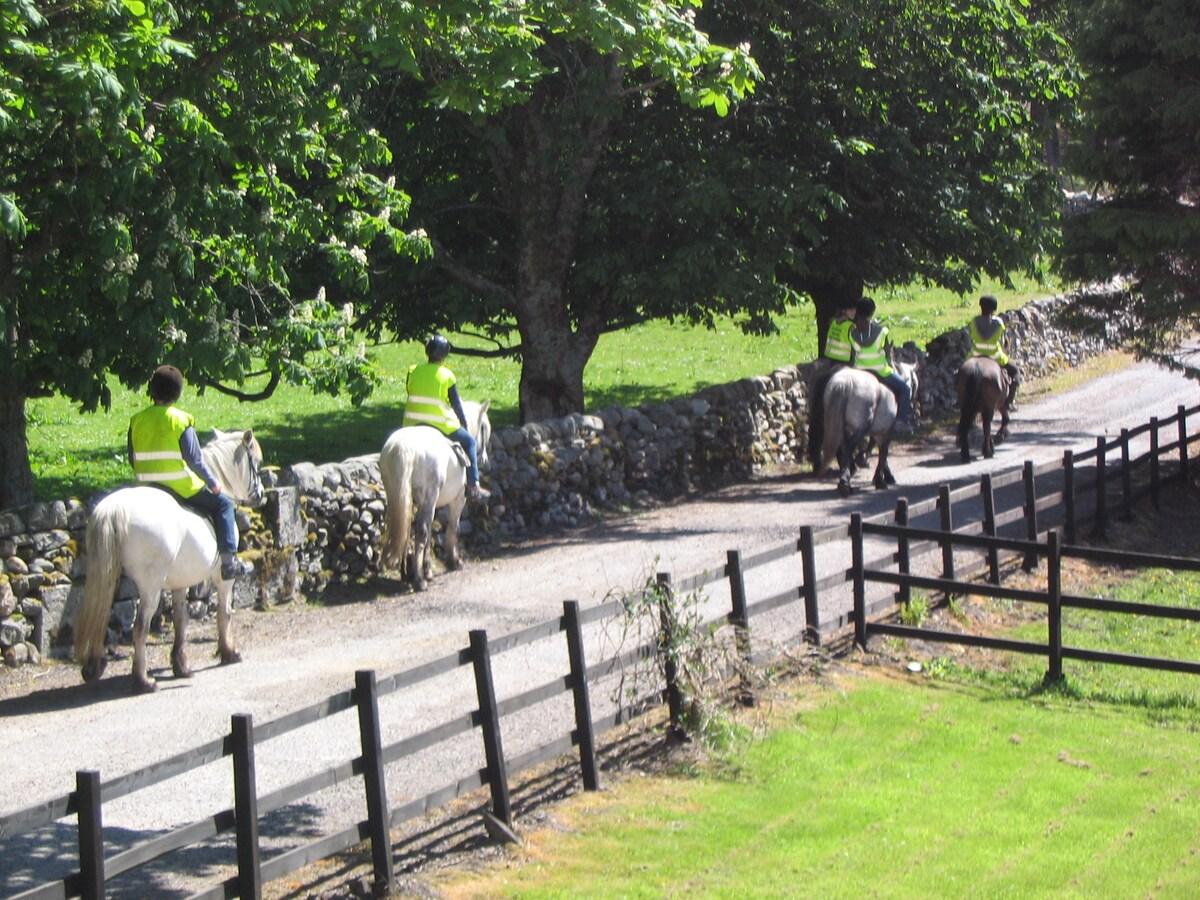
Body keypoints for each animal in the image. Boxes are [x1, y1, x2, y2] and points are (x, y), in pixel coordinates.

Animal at [74, 429, 265, 696]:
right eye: (256, 462)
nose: (261, 495)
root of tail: (114, 508)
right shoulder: (222, 578)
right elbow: (224, 612)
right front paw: (229, 652)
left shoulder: (179, 583)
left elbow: (180, 619)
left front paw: (180, 665)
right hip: (150, 586)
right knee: (140, 628)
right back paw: (143, 680)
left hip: (105, 576)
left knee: (99, 617)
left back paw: (94, 666)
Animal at [386, 400, 494, 592]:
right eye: (484, 427)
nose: (485, 460)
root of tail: (402, 448)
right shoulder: (458, 499)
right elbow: (452, 528)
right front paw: (454, 561)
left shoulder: (428, 503)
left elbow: (430, 533)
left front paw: (428, 569)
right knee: (420, 531)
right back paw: (418, 580)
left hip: (399, 498)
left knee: (405, 528)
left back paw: (407, 574)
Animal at [816, 362, 916, 501]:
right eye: (913, 382)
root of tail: (845, 382)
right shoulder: (885, 432)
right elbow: (883, 454)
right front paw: (881, 480)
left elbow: (880, 453)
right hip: (861, 426)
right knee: (849, 448)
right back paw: (845, 483)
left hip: (842, 427)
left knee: (844, 448)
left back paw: (846, 480)